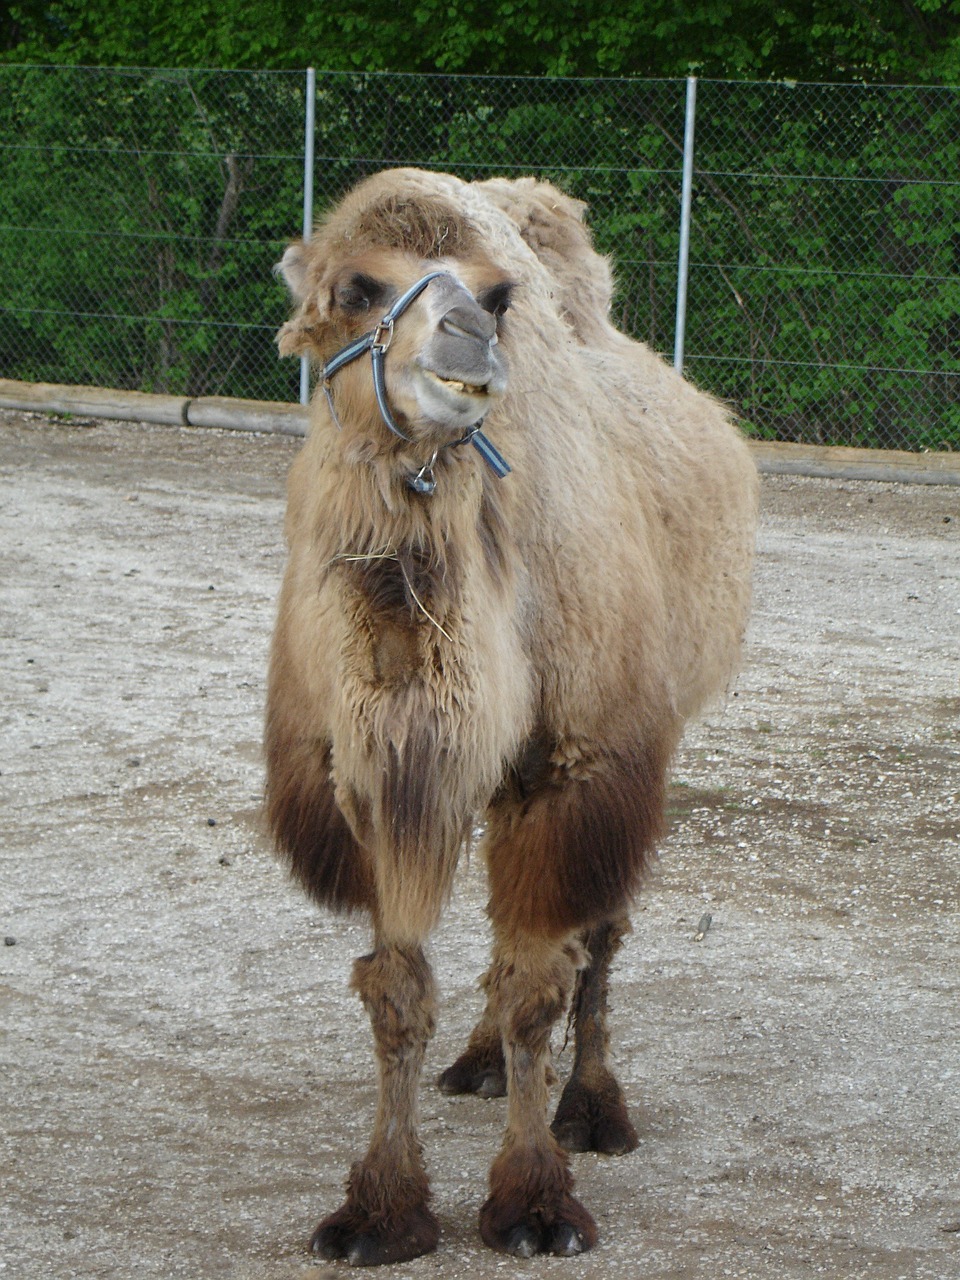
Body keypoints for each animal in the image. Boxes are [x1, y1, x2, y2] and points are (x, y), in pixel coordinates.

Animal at [264, 167, 757, 1259]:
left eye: (495, 294)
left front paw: (534, 1199)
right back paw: (479, 1061)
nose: (467, 342)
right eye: (357, 287)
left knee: (596, 936)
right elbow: (396, 987)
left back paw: (594, 1108)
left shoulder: (581, 759)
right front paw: (380, 1210)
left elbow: (545, 981)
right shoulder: (373, 770)